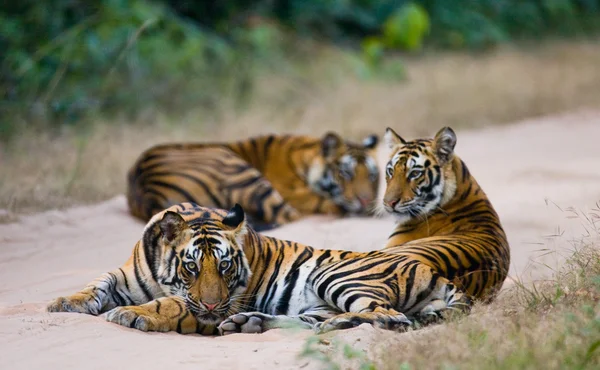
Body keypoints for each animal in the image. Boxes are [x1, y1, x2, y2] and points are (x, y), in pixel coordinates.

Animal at [47, 202, 468, 336]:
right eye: (191, 267)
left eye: (225, 266)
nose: (214, 308)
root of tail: (437, 272)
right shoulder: (126, 274)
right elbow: (97, 283)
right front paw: (64, 302)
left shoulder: (211, 304)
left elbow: (171, 305)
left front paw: (131, 314)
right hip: (320, 301)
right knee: (318, 321)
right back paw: (250, 323)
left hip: (336, 278)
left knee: (390, 317)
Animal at [126, 133, 380, 230]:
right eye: (345, 174)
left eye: (371, 175)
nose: (365, 201)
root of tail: (147, 189)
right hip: (239, 170)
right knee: (289, 216)